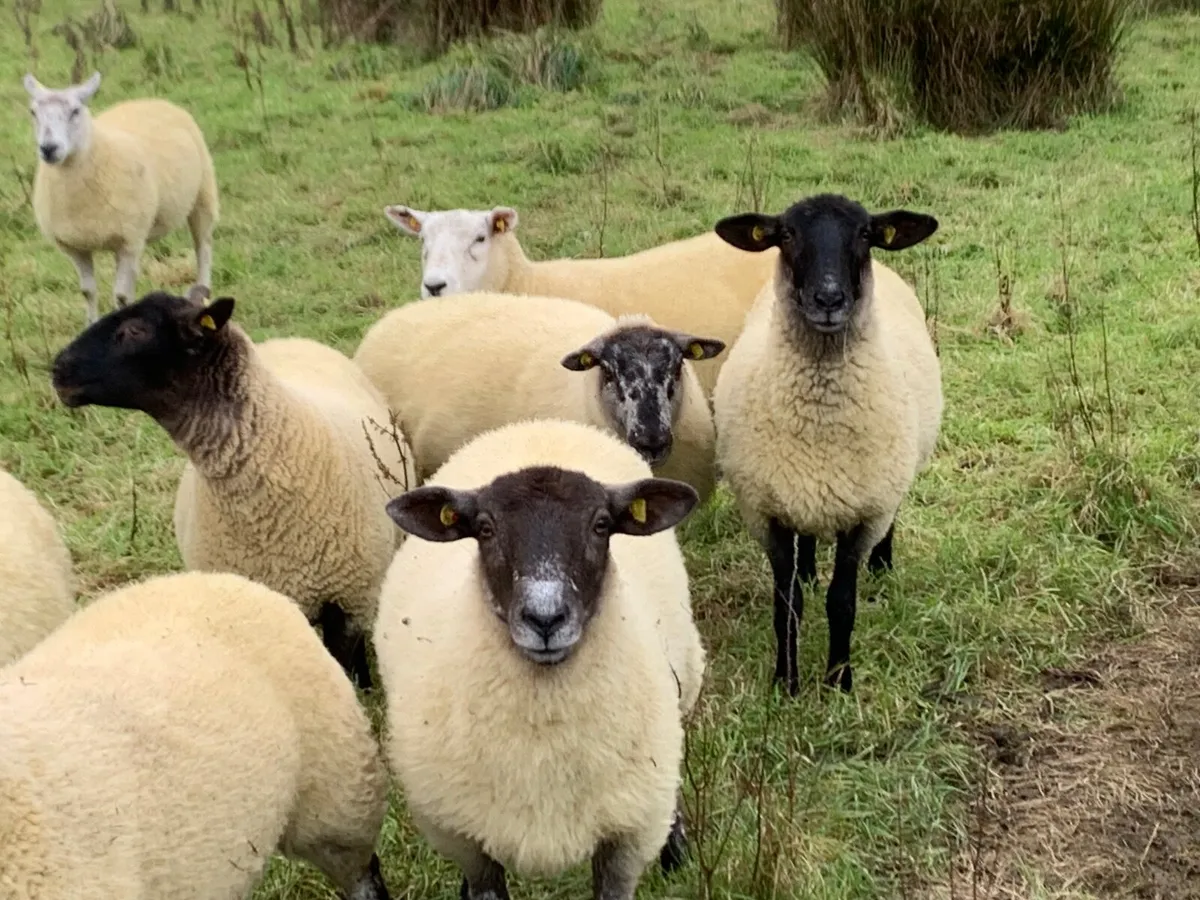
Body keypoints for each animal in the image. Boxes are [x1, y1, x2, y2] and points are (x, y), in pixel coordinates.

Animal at [23, 71, 219, 325]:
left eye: (75, 111)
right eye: (33, 112)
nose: (48, 148)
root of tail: (149, 100)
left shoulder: (129, 241)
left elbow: (122, 296)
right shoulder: (77, 247)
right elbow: (88, 291)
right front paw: (91, 324)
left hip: (203, 195)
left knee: (203, 247)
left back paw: (203, 293)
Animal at [373, 418, 706, 900]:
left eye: (601, 525)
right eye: (485, 529)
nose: (545, 618)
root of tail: (541, 424)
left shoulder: (626, 839)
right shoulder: (466, 841)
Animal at [711, 192, 943, 696]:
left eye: (865, 233)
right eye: (786, 234)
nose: (830, 299)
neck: (818, 422)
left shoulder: (865, 512)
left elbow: (842, 602)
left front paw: (839, 681)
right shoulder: (767, 511)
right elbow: (788, 602)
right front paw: (786, 682)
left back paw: (882, 568)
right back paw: (811, 570)